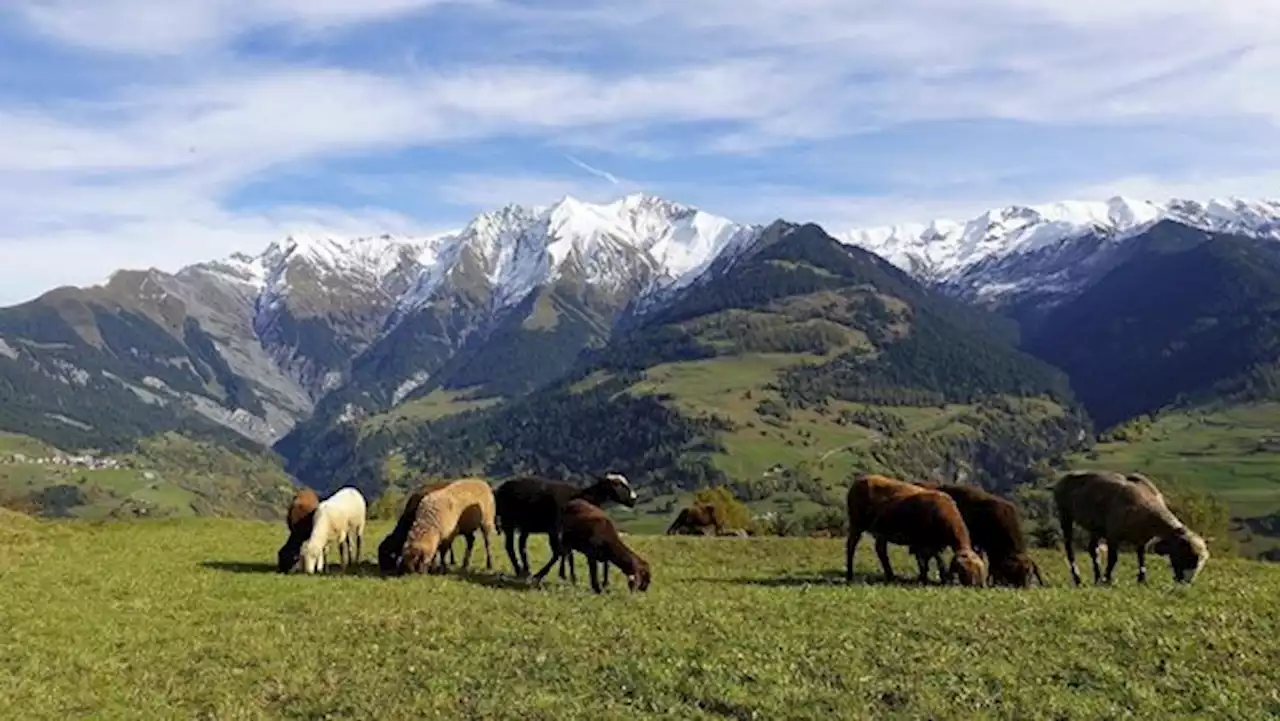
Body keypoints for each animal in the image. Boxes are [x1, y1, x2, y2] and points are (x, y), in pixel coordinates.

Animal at [496, 473, 640, 581]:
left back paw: (526, 570)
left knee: (522, 546)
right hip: (508, 521)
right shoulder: (555, 529)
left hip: (526, 525)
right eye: (617, 484)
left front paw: (568, 575)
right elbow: (560, 552)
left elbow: (567, 553)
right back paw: (519, 570)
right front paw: (543, 574)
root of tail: (500, 488)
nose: (634, 499)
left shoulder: (566, 530)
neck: (582, 496)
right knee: (510, 547)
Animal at [849, 473, 988, 586]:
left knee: (881, 550)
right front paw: (928, 579)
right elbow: (930, 561)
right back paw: (850, 574)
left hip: (882, 532)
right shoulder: (924, 542)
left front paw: (933, 578)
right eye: (965, 571)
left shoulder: (934, 543)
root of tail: (860, 480)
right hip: (856, 523)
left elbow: (931, 561)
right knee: (851, 546)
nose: (975, 585)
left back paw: (890, 576)